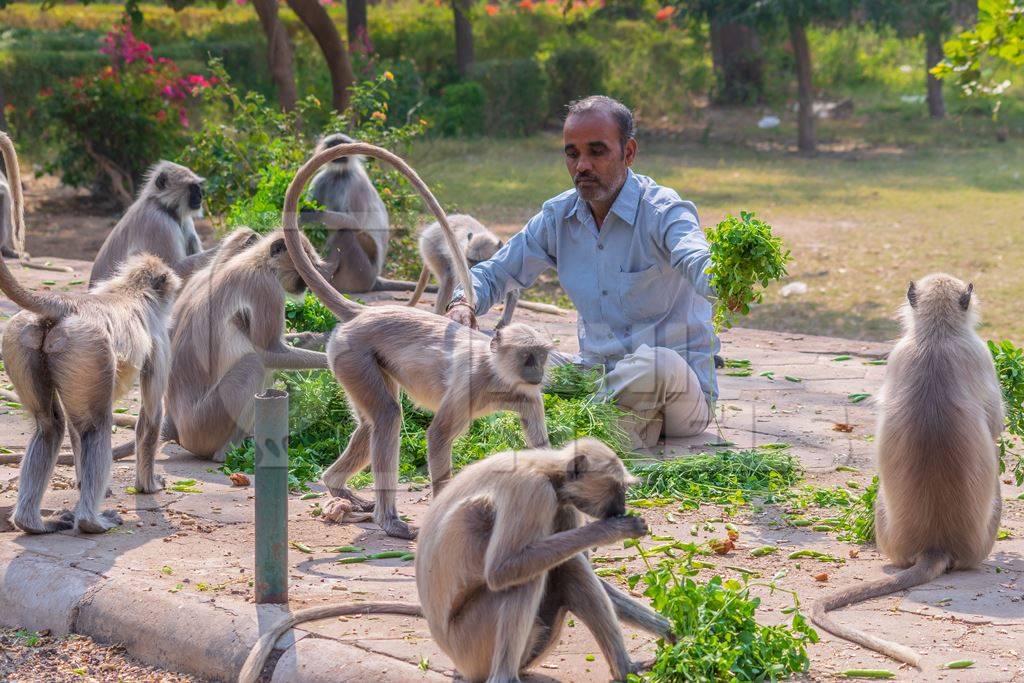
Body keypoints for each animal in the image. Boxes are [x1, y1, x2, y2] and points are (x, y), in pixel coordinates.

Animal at [0, 131, 182, 532]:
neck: (129, 288)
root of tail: (66, 305)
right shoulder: (160, 339)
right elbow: (150, 416)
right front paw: (147, 484)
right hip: (89, 347)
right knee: (96, 425)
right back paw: (90, 521)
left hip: (22, 337)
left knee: (49, 426)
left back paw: (32, 522)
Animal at [90, 160, 209, 288]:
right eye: (193, 187)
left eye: (198, 187)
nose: (201, 195)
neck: (162, 205)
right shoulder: (159, 222)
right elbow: (173, 269)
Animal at [238, 438, 671, 683]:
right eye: (615, 487)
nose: (620, 506)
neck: (546, 469)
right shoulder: (532, 492)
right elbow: (503, 570)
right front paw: (616, 529)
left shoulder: (561, 502)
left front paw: (671, 629)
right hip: (472, 644)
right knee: (529, 575)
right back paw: (503, 678)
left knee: (564, 568)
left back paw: (625, 669)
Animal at [280, 143, 552, 540]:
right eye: (528, 357)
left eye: (542, 357)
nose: (538, 373)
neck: (498, 374)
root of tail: (363, 313)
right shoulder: (471, 382)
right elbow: (437, 437)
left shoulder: (527, 395)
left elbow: (542, 450)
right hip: (352, 354)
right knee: (386, 417)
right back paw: (388, 520)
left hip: (352, 362)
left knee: (371, 422)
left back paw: (338, 486)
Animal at [811, 274, 1003, 667]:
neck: (937, 336)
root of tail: (936, 544)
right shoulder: (979, 354)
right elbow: (996, 426)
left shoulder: (897, 355)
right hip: (974, 540)